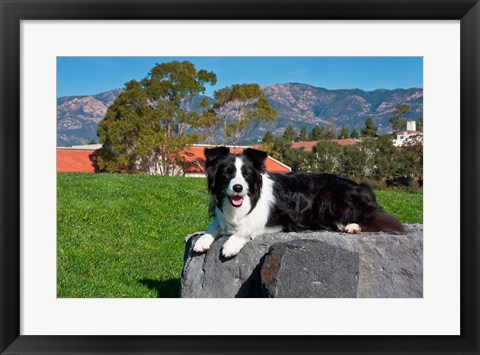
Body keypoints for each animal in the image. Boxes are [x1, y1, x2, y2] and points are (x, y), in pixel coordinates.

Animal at [193, 147, 404, 258]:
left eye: (247, 174)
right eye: (226, 173)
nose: (238, 188)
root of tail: (363, 187)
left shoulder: (282, 218)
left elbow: (248, 228)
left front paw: (231, 244)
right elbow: (213, 226)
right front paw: (203, 240)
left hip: (329, 197)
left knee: (369, 218)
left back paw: (352, 226)